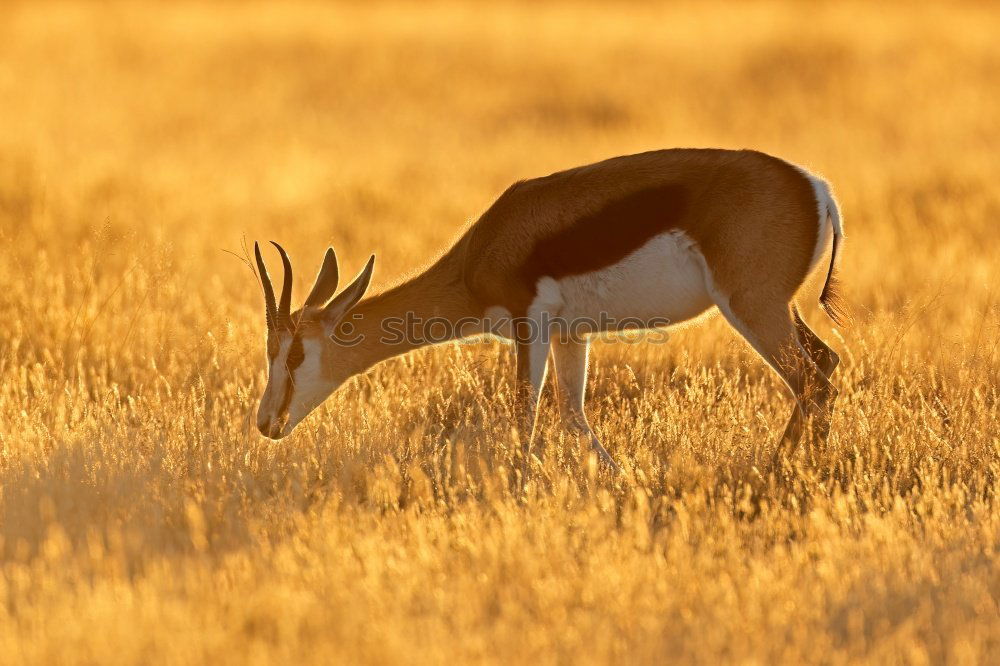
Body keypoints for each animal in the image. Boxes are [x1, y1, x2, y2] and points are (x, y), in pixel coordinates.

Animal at [254, 148, 848, 470]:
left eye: (293, 355)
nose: (266, 423)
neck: (480, 252)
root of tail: (817, 188)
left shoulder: (529, 322)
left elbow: (525, 415)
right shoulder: (571, 333)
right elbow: (572, 414)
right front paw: (621, 482)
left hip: (751, 307)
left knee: (813, 380)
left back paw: (780, 473)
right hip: (776, 308)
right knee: (827, 364)